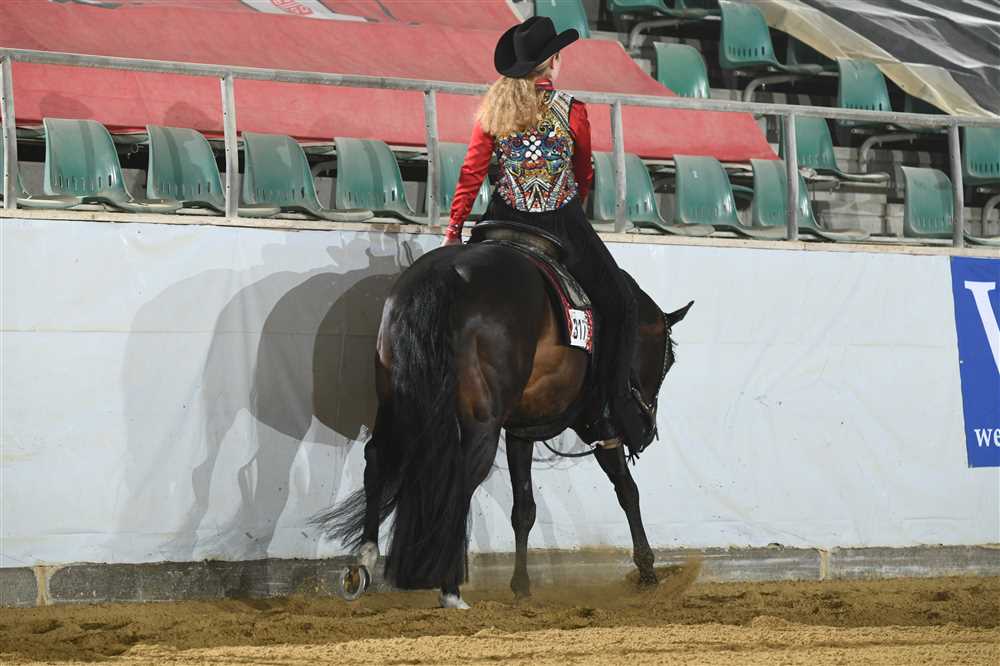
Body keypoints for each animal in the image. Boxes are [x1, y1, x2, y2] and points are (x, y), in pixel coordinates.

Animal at [315, 229, 692, 609]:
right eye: (669, 360)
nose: (647, 430)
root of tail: (447, 275)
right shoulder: (601, 425)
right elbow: (627, 490)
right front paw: (648, 572)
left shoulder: (520, 431)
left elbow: (524, 508)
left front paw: (521, 585)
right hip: (483, 421)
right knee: (462, 478)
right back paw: (450, 589)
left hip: (396, 400)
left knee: (378, 460)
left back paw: (362, 564)